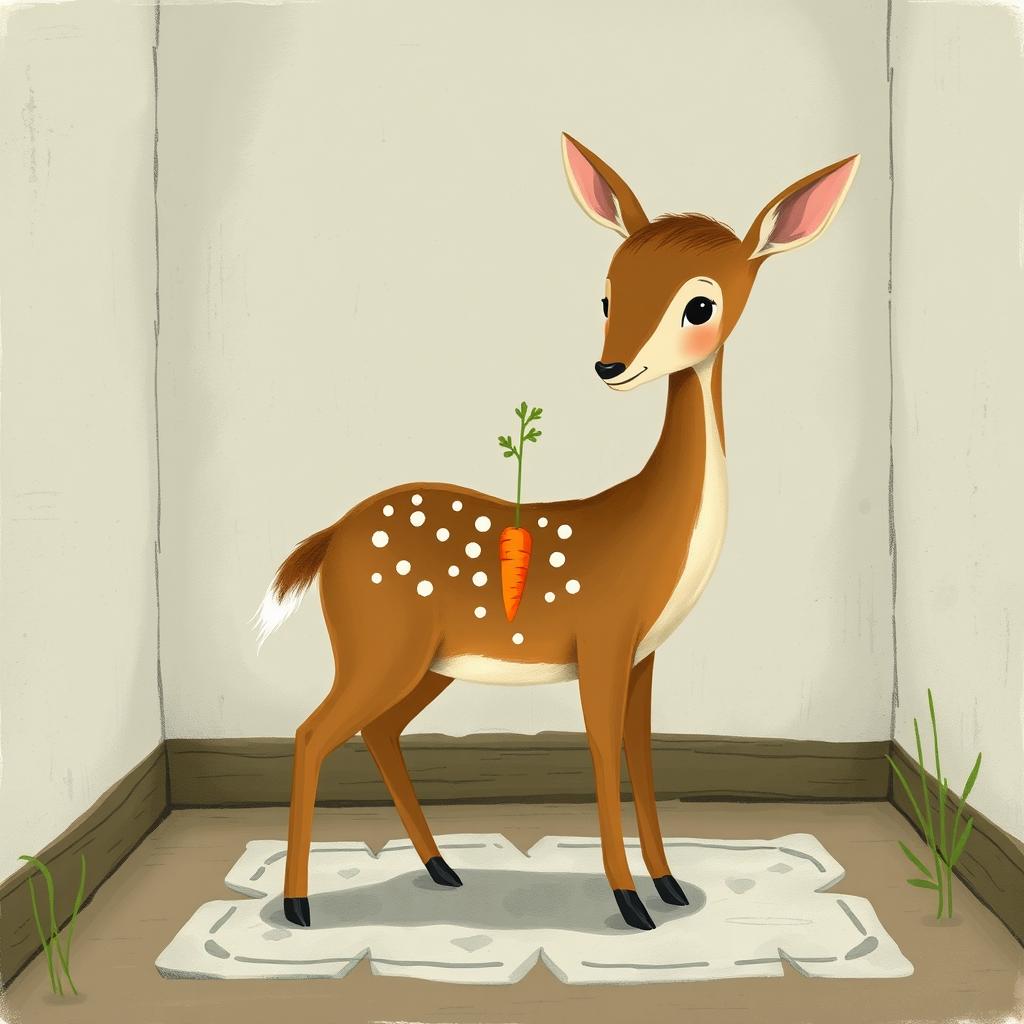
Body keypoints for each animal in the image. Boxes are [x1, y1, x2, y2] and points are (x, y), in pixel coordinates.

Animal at [255, 134, 859, 932]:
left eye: (700, 304)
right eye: (605, 294)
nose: (610, 365)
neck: (650, 529)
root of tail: (329, 537)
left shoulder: (642, 653)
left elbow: (641, 752)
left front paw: (668, 886)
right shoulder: (603, 632)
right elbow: (603, 748)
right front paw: (630, 903)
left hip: (430, 658)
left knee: (378, 731)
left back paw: (441, 868)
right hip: (379, 642)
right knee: (312, 732)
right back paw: (298, 906)